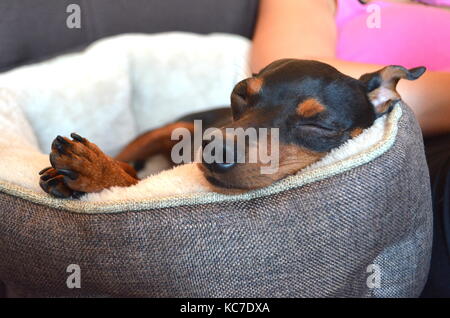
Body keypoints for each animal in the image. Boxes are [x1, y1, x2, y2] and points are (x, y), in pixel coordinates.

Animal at [38, 58, 426, 198]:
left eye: (320, 125)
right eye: (239, 94)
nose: (213, 151)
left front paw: (94, 173)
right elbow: (134, 180)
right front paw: (96, 169)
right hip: (170, 128)